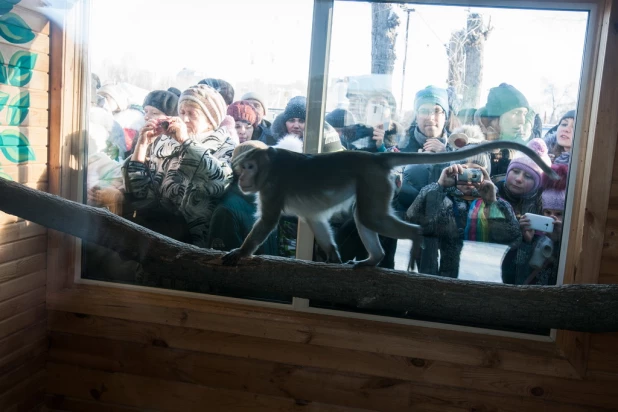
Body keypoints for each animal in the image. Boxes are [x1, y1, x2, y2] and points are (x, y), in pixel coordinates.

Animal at [220, 140, 552, 268]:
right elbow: (317, 220)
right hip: (376, 184)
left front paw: (240, 253)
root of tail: (375, 158)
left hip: (372, 181)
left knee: (369, 216)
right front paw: (332, 256)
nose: (242, 178)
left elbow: (267, 221)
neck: (269, 167)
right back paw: (374, 259)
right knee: (363, 216)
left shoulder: (272, 187)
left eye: (249, 166)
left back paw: (415, 237)